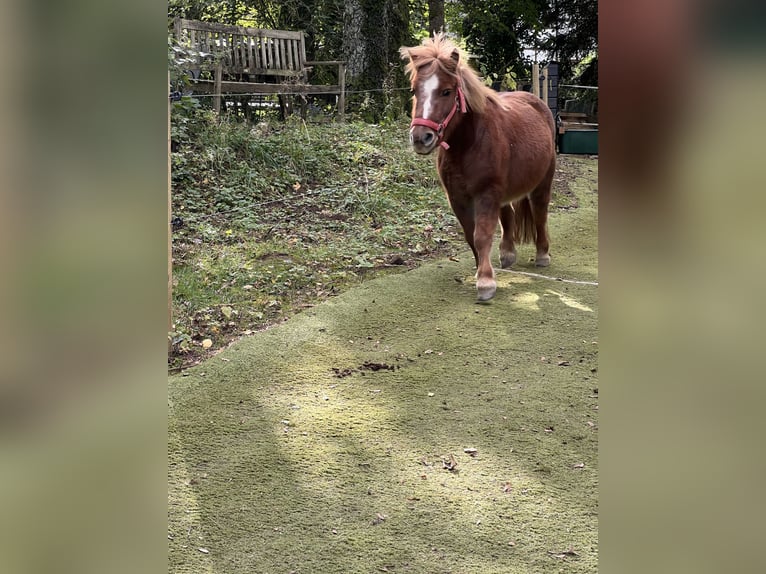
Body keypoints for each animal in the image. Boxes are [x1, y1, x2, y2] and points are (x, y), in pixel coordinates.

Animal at [402, 34, 560, 302]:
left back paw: (542, 255)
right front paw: (481, 270)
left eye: (446, 91)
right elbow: (470, 236)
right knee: (508, 216)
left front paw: (486, 282)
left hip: (541, 184)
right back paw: (507, 254)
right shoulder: (458, 198)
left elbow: (482, 235)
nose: (421, 138)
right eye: (414, 90)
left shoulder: (486, 193)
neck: (467, 144)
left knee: (540, 214)